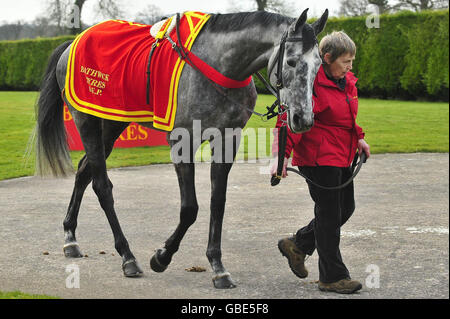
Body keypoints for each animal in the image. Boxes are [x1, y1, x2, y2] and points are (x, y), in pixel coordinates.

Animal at [34, 9, 326, 290]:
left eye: (318, 65)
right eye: (291, 62)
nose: (303, 119)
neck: (217, 66)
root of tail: (74, 42)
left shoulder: (227, 140)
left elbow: (217, 202)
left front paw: (217, 266)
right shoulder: (182, 141)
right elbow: (190, 208)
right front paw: (162, 256)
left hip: (111, 121)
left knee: (84, 171)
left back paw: (70, 237)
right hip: (87, 120)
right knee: (101, 185)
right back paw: (127, 256)